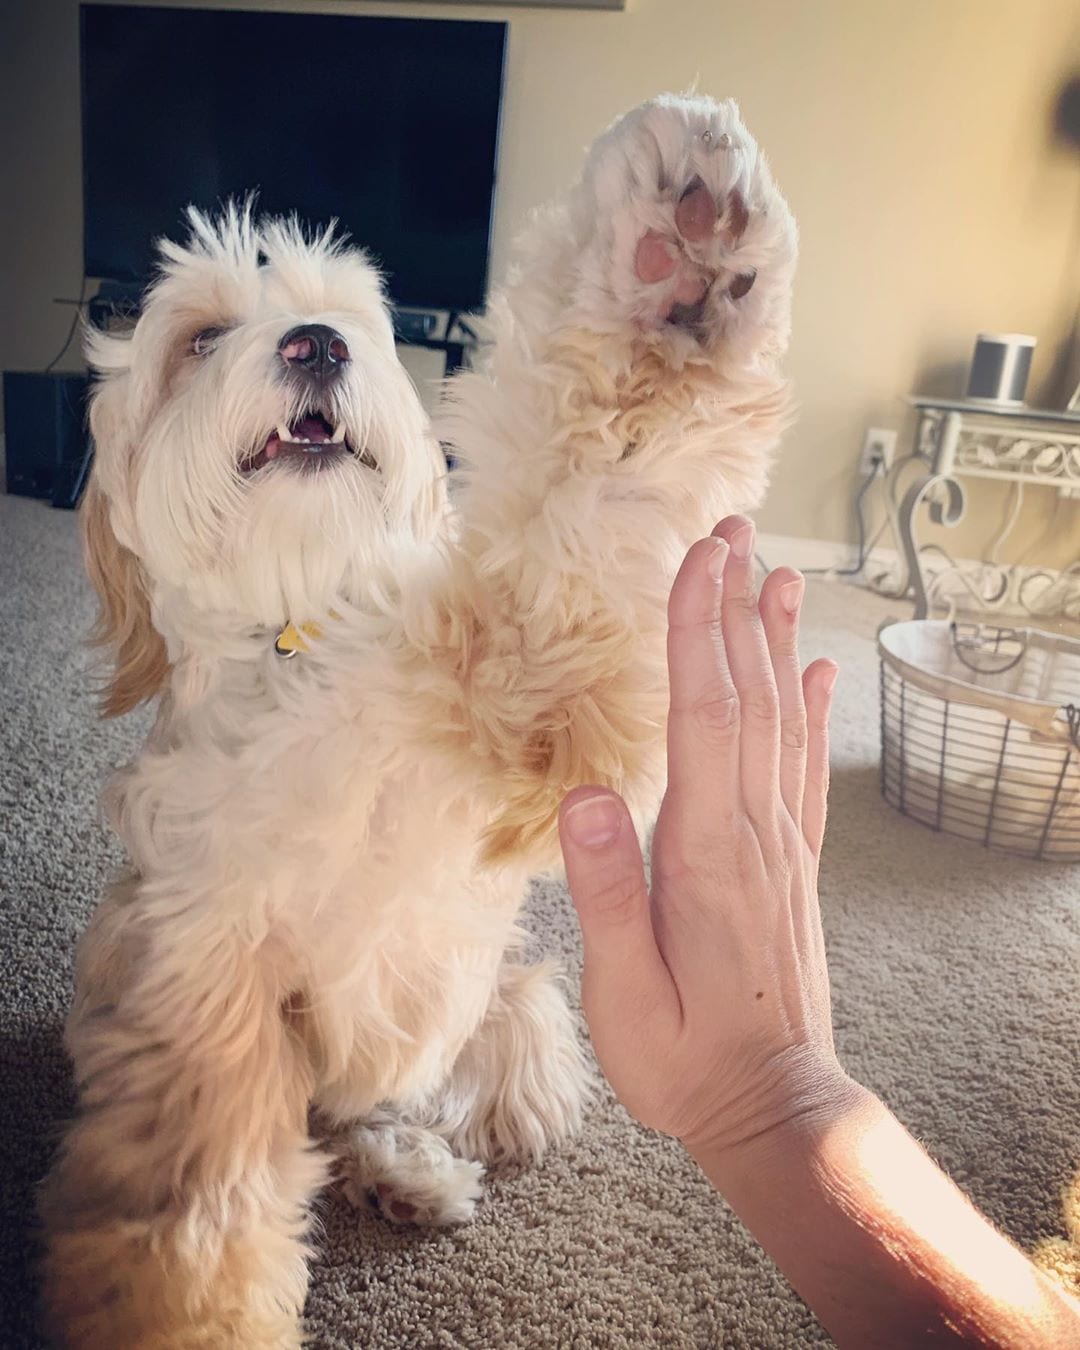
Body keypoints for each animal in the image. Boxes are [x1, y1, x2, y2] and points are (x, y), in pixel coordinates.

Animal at [42, 97, 799, 1350]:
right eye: (200, 337)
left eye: (353, 321)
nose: (316, 344)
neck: (301, 642)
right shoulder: (204, 984)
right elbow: (201, 1215)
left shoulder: (537, 667)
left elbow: (609, 470)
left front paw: (676, 259)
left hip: (513, 1005)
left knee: (407, 1103)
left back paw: (412, 1170)